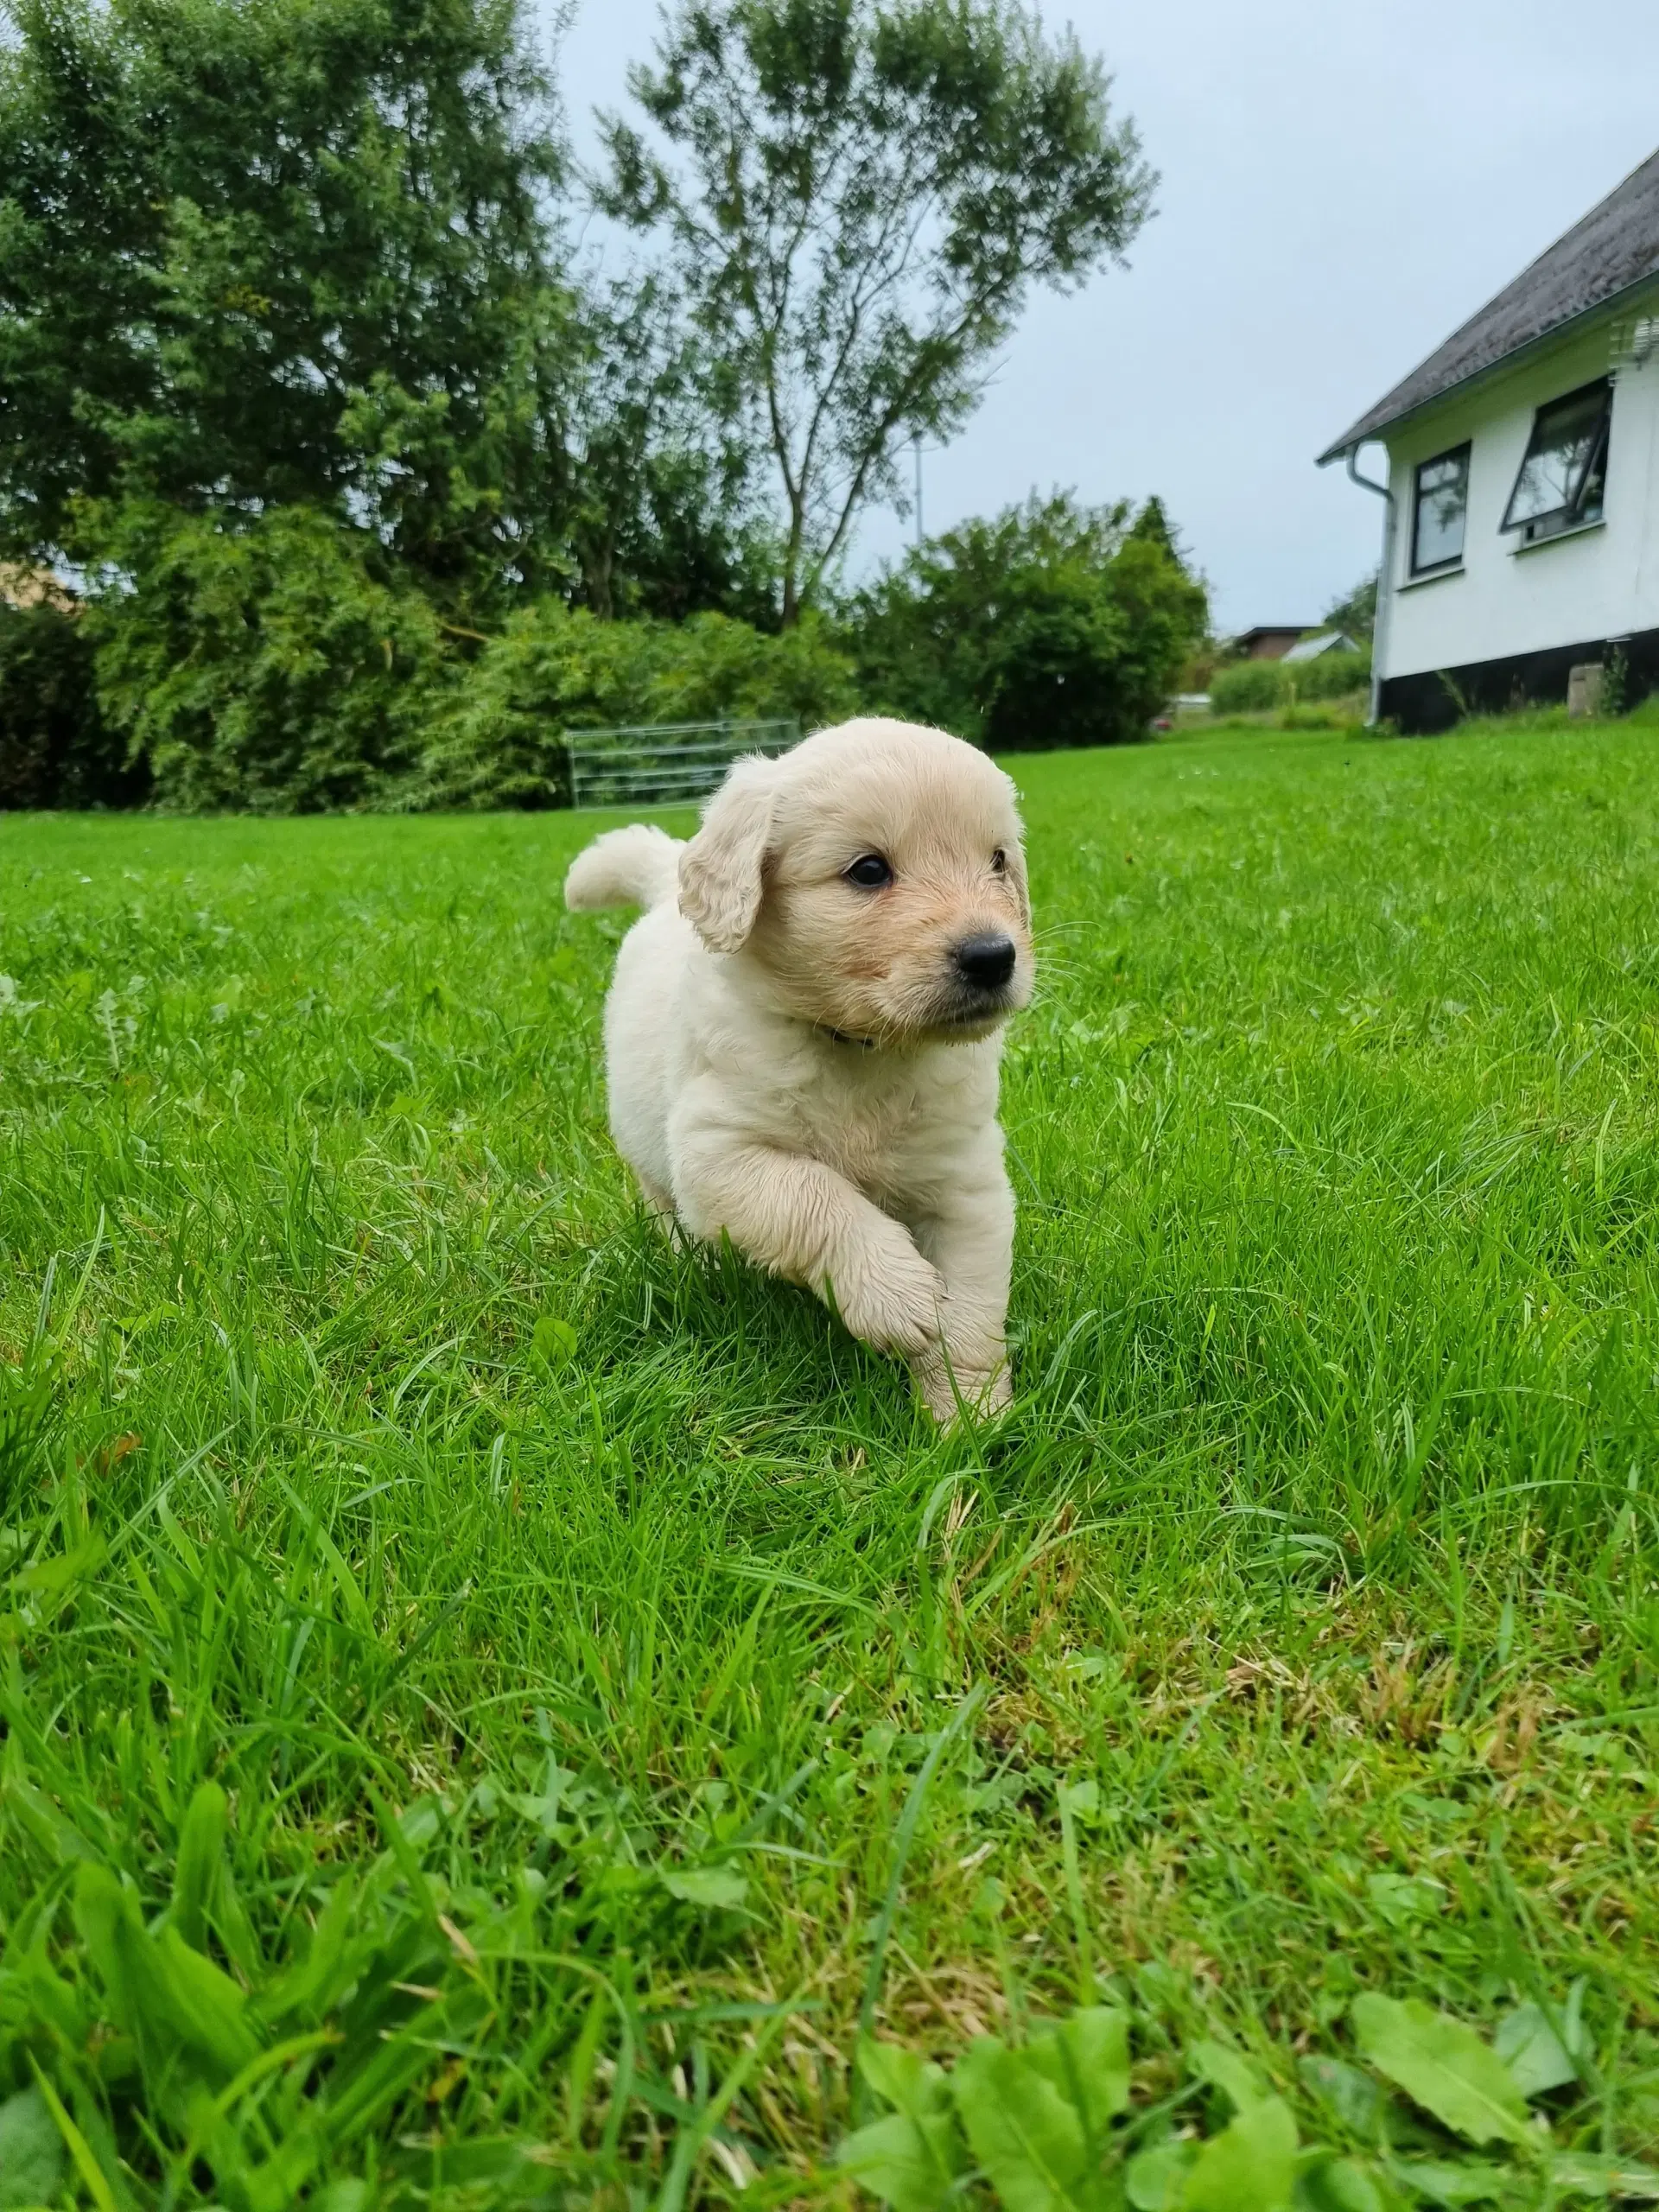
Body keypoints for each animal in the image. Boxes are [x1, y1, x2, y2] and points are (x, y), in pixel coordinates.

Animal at [570, 716, 1039, 1424]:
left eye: (997, 861)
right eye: (868, 871)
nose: (993, 956)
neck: (864, 1049)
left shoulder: (966, 1184)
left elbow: (973, 1308)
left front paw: (969, 1413)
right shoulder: (719, 1153)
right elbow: (815, 1195)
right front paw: (897, 1295)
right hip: (645, 1146)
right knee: (664, 1207)